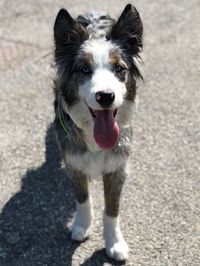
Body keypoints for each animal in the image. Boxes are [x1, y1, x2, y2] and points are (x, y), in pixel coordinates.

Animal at [53, 3, 143, 262]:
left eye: (119, 68)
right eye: (84, 69)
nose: (105, 96)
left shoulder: (118, 167)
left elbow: (112, 209)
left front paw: (115, 243)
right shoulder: (72, 161)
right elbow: (83, 197)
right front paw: (81, 226)